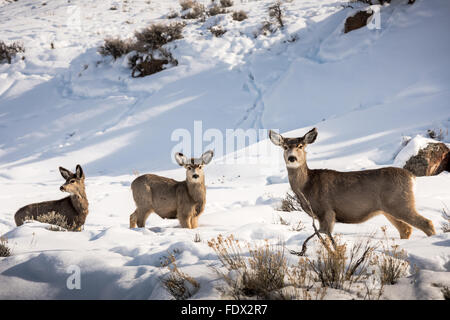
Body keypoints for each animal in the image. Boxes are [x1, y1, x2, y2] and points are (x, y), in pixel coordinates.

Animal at [268, 129, 436, 239]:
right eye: (285, 147)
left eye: (301, 146)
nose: (292, 158)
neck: (307, 186)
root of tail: (412, 177)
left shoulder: (327, 210)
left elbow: (326, 239)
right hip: (389, 209)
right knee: (406, 229)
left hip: (401, 202)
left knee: (426, 223)